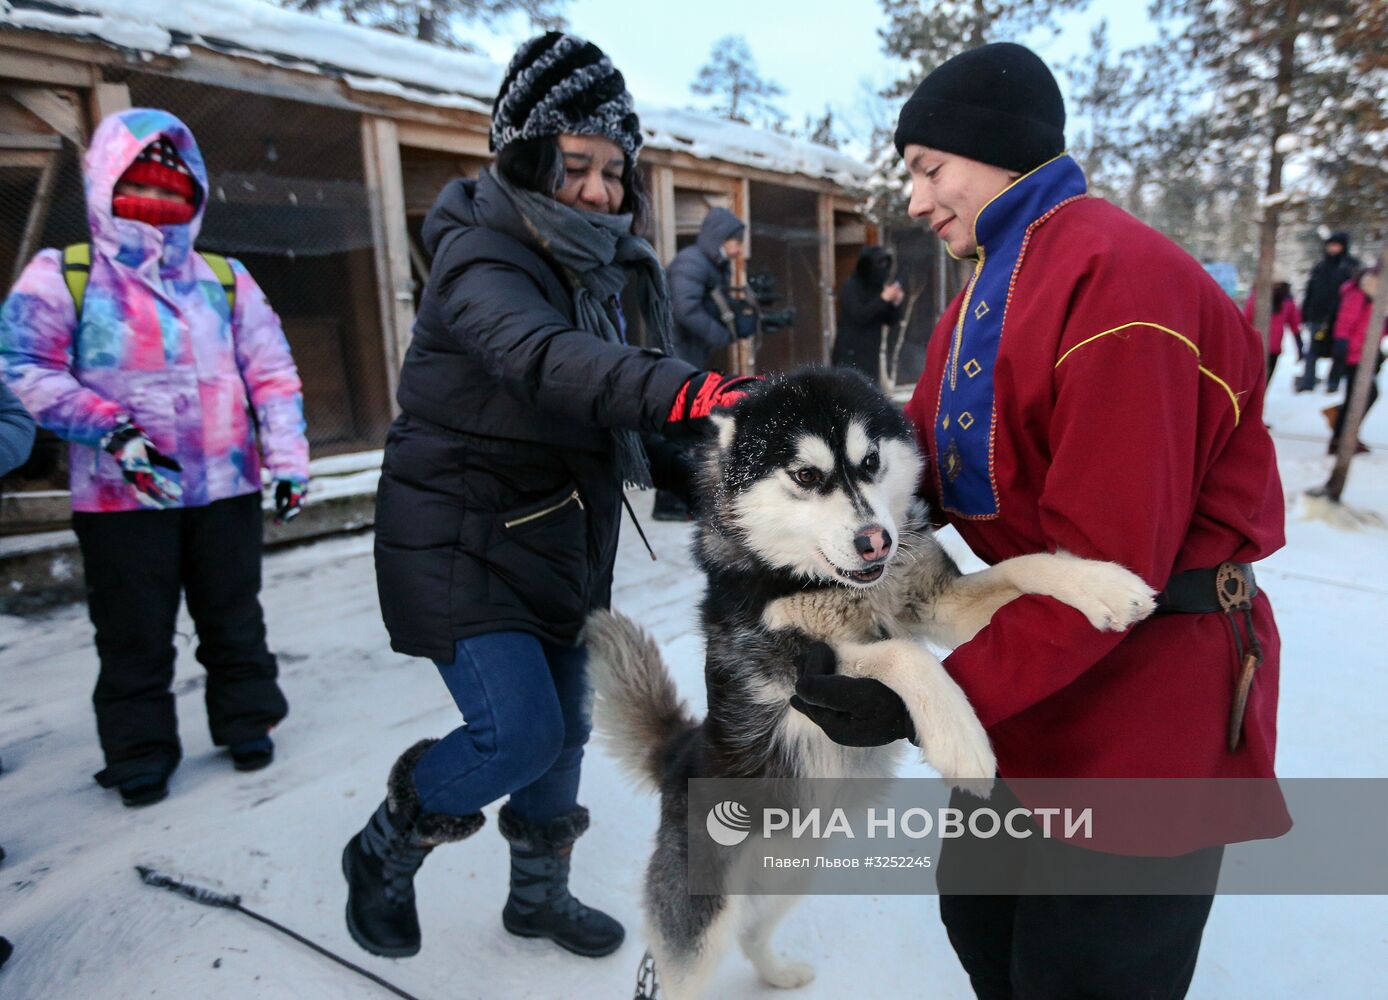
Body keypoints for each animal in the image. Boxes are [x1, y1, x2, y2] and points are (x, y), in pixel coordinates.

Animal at [588, 369, 1160, 999]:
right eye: (807, 476)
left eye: (870, 461)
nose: (875, 541)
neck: (837, 585)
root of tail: (679, 753)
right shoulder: (793, 669)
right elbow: (903, 653)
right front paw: (961, 741)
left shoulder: (938, 601)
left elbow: (1025, 565)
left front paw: (1104, 585)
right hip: (701, 919)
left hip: (793, 871)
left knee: (753, 931)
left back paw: (780, 973)